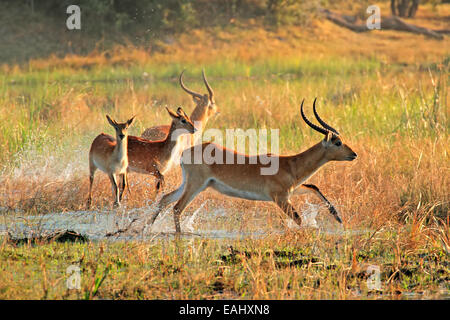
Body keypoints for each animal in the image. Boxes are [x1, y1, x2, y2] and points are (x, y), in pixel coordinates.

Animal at [151, 98, 358, 232]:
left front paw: (338, 217)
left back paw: (147, 228)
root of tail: (186, 152)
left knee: (165, 199)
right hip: (196, 185)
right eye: (337, 142)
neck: (291, 165)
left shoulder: (290, 192)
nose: (354, 154)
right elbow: (298, 219)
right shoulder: (280, 198)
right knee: (177, 208)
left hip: (189, 183)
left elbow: (314, 186)